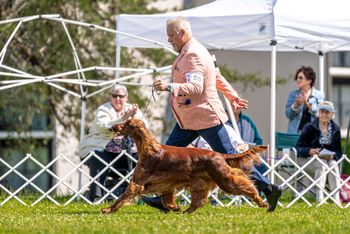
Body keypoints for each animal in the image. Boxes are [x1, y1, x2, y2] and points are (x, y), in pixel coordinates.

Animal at [102, 119, 268, 214]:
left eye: (127, 123)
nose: (113, 126)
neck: (149, 149)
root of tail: (220, 155)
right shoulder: (166, 184)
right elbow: (166, 200)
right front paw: (175, 208)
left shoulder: (137, 183)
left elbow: (122, 196)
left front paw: (108, 209)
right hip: (200, 183)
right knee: (199, 200)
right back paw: (186, 211)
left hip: (224, 180)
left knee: (248, 186)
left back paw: (261, 202)